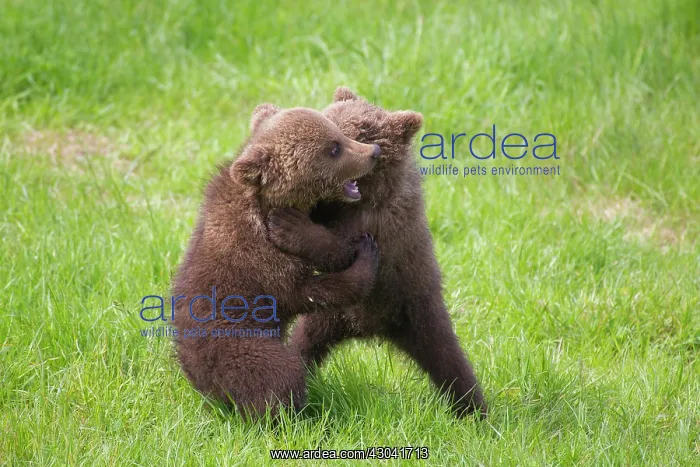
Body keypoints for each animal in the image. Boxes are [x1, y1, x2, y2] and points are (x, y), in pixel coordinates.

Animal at [172, 104, 382, 418]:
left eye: (339, 133)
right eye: (333, 148)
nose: (373, 152)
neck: (267, 203)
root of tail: (208, 392)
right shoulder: (260, 261)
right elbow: (309, 291)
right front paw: (364, 253)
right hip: (238, 345)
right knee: (280, 373)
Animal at [265, 88, 487, 418]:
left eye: (358, 133)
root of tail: (371, 329)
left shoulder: (382, 225)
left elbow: (341, 249)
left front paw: (289, 225)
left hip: (415, 308)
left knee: (448, 359)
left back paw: (474, 409)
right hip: (330, 314)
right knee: (305, 344)